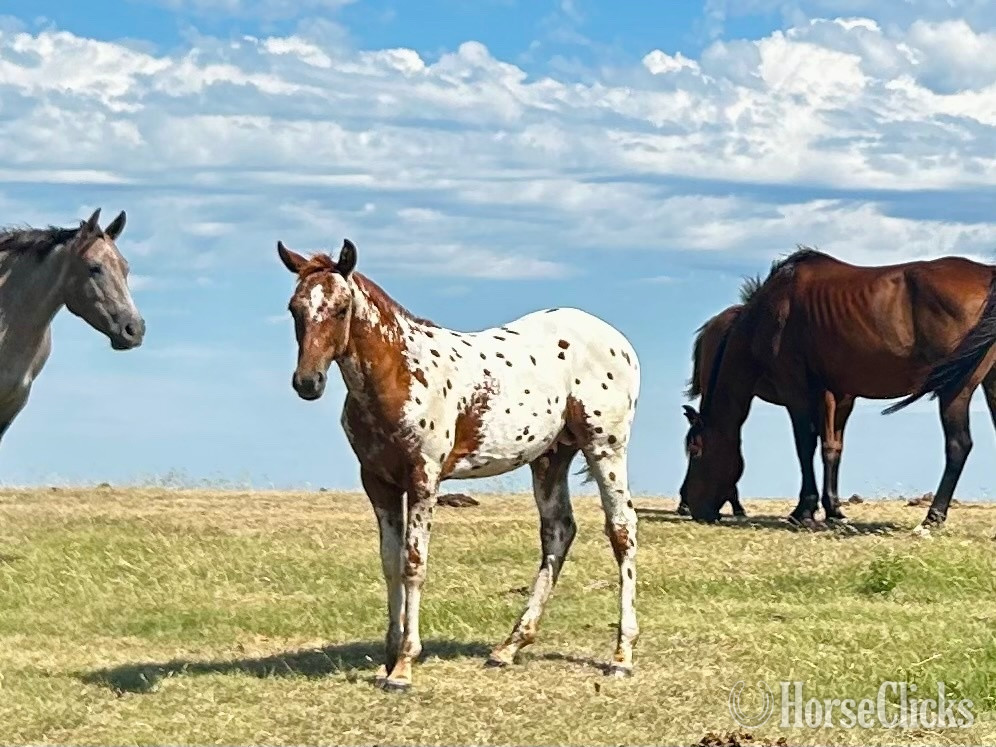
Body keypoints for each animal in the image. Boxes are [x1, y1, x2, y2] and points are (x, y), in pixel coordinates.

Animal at [277, 238, 640, 691]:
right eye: (294, 308)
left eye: (341, 308)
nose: (308, 383)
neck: (400, 372)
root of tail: (617, 341)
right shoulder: (378, 481)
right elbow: (390, 563)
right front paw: (388, 657)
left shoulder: (424, 479)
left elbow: (414, 564)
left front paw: (403, 667)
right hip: (550, 457)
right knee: (559, 531)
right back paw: (508, 647)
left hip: (606, 446)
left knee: (622, 531)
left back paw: (622, 655)